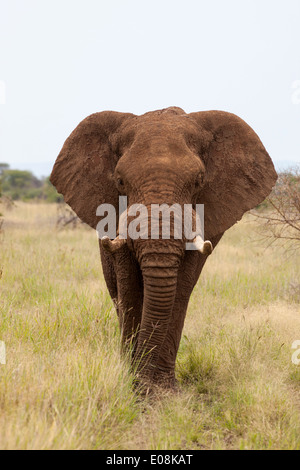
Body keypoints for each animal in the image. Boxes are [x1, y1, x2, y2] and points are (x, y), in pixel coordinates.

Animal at [50, 107, 278, 392]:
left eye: (198, 181)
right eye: (120, 181)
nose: (142, 381)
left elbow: (180, 289)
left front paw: (162, 391)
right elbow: (129, 286)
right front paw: (134, 383)